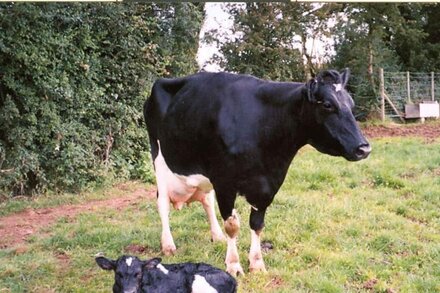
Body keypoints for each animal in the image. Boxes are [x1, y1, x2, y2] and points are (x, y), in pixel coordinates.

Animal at [145, 68, 372, 274]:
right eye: (327, 104)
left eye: (351, 104)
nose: (364, 148)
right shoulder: (224, 182)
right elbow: (233, 226)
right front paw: (234, 265)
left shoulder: (267, 184)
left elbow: (257, 224)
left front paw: (256, 263)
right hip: (159, 159)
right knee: (162, 203)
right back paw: (168, 245)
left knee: (206, 200)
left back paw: (216, 236)